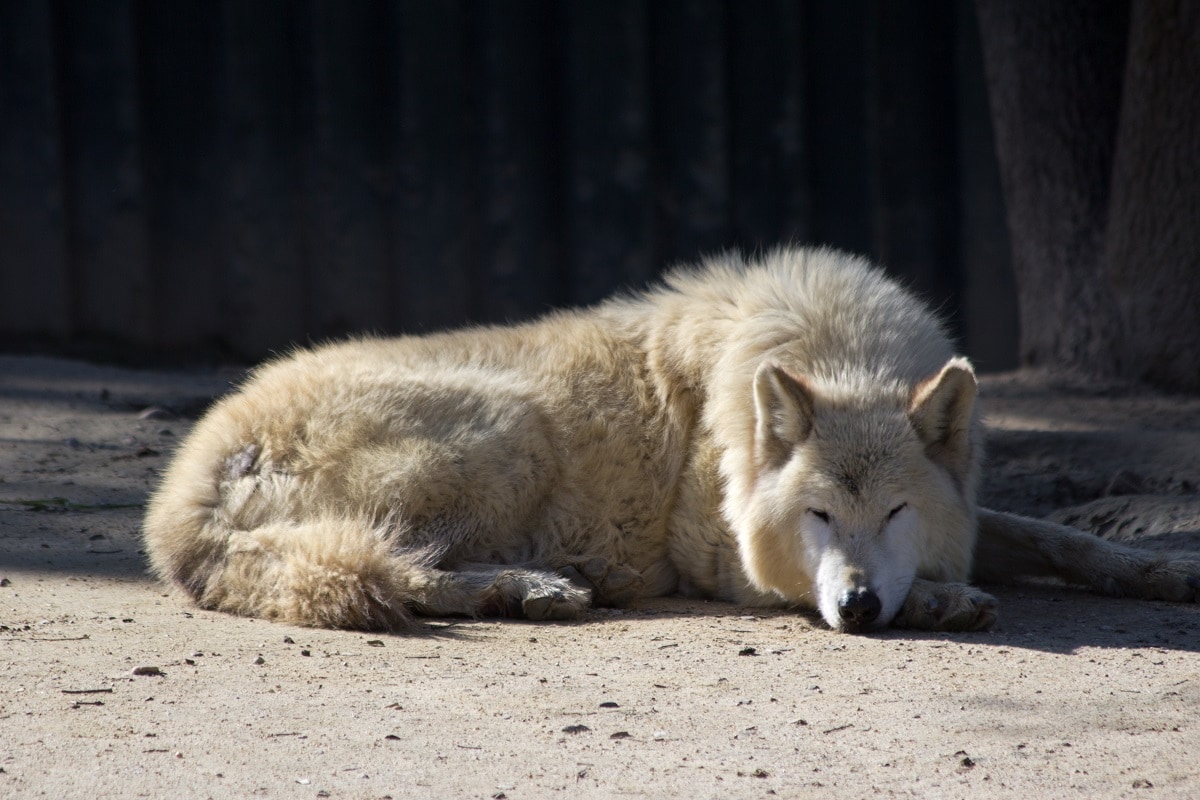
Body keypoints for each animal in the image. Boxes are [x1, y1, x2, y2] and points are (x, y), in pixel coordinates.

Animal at [142, 245, 1200, 633]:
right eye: (820, 515)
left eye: (897, 509)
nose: (859, 607)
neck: (831, 346)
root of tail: (178, 495)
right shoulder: (721, 558)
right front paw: (946, 600)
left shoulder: (972, 509)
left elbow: (1059, 536)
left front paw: (1164, 570)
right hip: (509, 429)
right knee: (393, 567)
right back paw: (530, 588)